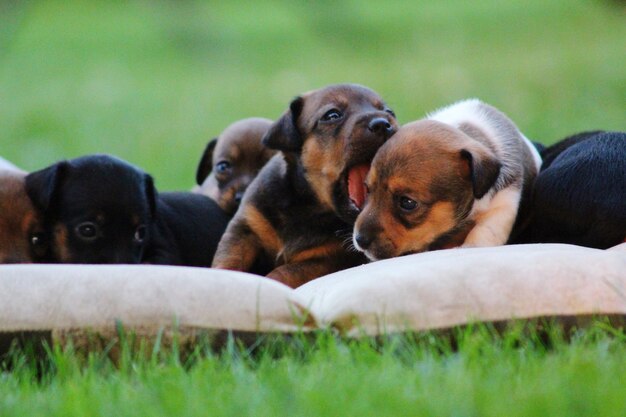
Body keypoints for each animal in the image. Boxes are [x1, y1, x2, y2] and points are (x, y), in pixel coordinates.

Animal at [210, 84, 394, 286]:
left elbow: (282, 273)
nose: (383, 124)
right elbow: (229, 260)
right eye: (332, 115)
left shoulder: (325, 259)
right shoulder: (244, 229)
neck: (305, 204)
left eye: (389, 111)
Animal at [354, 98, 540, 258]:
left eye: (407, 202)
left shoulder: (505, 202)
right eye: (367, 189)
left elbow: (486, 230)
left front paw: (470, 246)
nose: (359, 240)